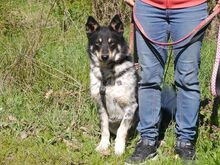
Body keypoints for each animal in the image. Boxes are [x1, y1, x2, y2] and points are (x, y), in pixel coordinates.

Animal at [85, 14, 138, 155]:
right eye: (97, 43)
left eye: (112, 42)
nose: (104, 56)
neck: (107, 76)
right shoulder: (101, 106)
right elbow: (104, 129)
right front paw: (103, 145)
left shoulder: (131, 107)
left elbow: (122, 129)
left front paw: (119, 148)